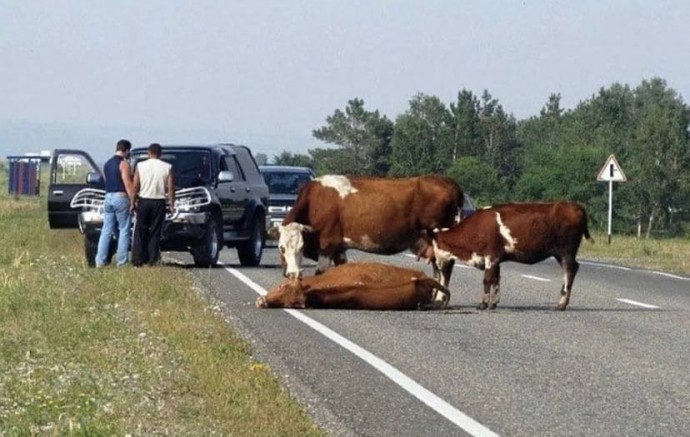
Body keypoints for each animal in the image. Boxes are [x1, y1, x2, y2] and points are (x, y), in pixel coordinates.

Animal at [268, 172, 462, 278]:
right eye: (281, 248)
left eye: (301, 246)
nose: (293, 274)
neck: (314, 201)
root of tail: (448, 182)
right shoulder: (339, 248)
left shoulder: (327, 243)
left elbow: (320, 273)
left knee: (445, 266)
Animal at [416, 201, 592, 310]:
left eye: (435, 249)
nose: (437, 266)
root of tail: (575, 205)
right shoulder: (497, 259)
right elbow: (496, 280)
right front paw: (493, 303)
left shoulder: (491, 256)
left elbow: (487, 280)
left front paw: (482, 304)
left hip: (566, 251)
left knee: (570, 271)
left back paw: (561, 304)